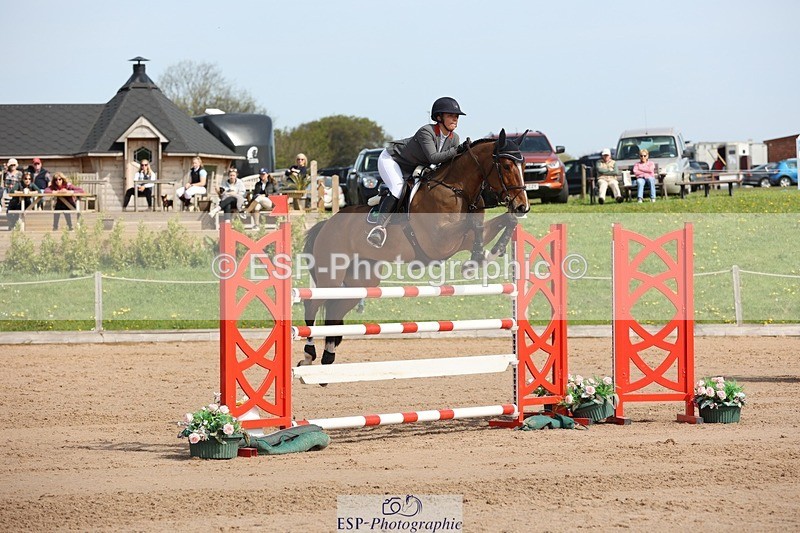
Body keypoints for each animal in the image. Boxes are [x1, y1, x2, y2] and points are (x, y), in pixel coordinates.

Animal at [300, 129, 530, 366]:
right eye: (506, 166)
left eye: (524, 165)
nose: (522, 206)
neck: (456, 190)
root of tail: (326, 224)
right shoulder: (440, 240)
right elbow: (474, 224)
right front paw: (475, 259)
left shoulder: (461, 238)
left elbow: (502, 222)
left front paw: (490, 253)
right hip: (331, 276)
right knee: (312, 304)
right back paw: (308, 355)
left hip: (360, 282)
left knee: (335, 311)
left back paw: (328, 357)